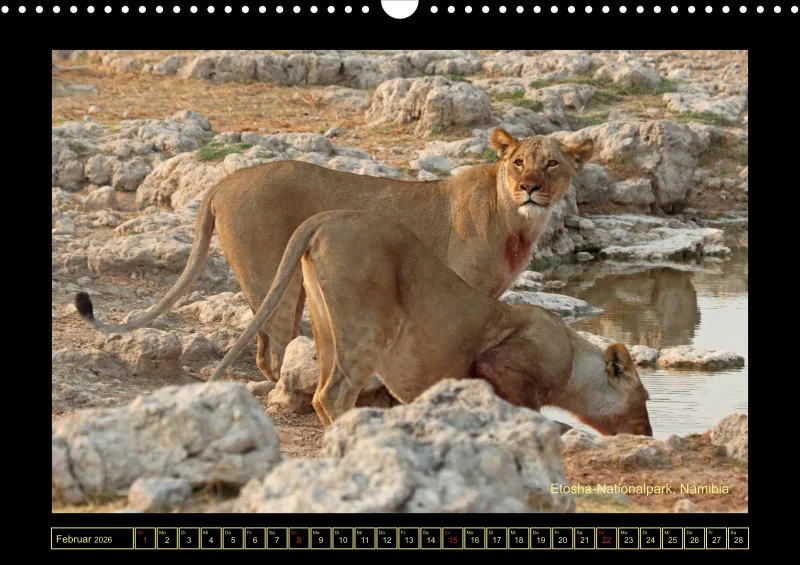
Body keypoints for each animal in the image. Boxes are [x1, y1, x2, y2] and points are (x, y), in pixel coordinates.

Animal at [74, 128, 594, 383]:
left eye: (552, 163)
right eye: (517, 162)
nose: (530, 187)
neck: (517, 222)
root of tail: (222, 182)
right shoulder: (460, 289)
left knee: (265, 347)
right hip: (276, 280)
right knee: (273, 348)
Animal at [203, 210, 653, 437]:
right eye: (644, 399)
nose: (648, 434)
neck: (574, 360)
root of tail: (325, 218)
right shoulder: (502, 361)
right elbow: (528, 410)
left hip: (325, 323)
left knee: (318, 392)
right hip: (367, 326)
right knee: (333, 394)